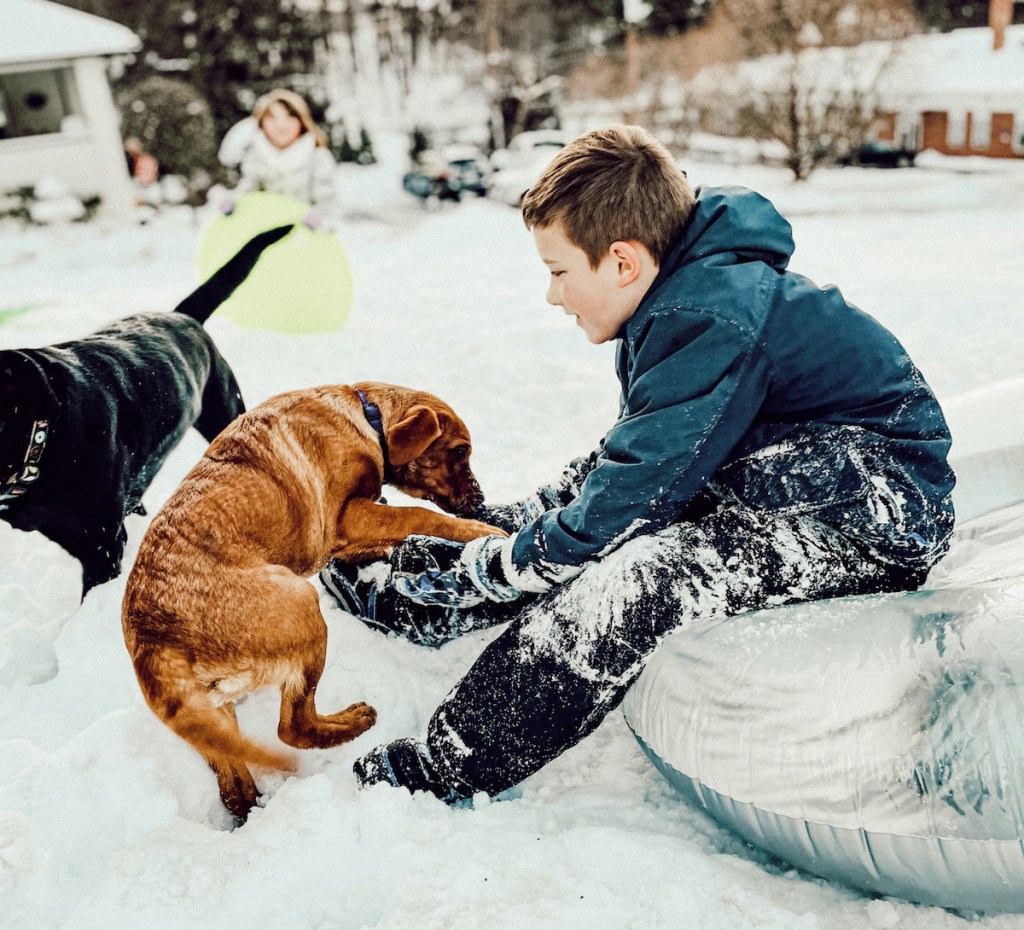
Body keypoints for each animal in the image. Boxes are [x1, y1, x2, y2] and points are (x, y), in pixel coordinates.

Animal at [121, 381, 505, 819]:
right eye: (459, 451)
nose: (480, 499)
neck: (369, 416)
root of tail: (150, 636)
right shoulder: (348, 515)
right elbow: (418, 516)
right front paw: (477, 531)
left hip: (213, 714)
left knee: (234, 785)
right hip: (303, 607)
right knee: (293, 729)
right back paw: (353, 723)